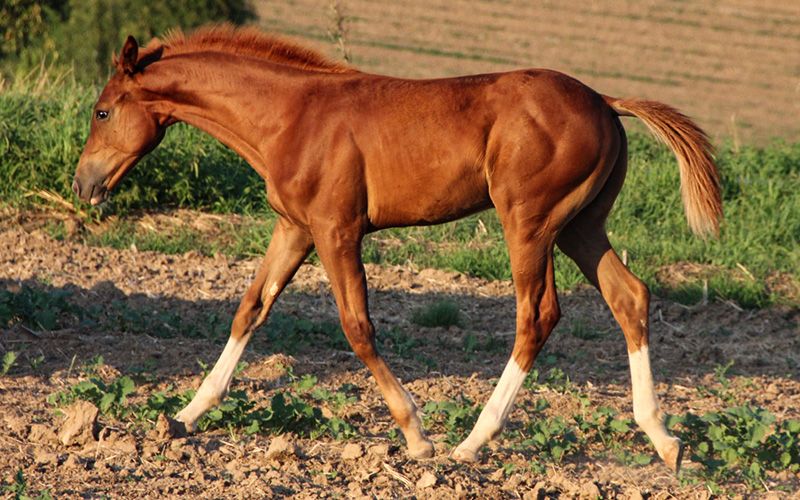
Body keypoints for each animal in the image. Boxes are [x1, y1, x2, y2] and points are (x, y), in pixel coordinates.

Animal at [73, 25, 721, 471]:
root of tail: (606, 101)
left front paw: (417, 435)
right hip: (579, 226)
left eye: (103, 110)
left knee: (537, 314)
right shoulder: (294, 228)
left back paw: (471, 442)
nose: (84, 185)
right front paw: (183, 417)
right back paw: (663, 438)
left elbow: (357, 326)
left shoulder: (336, 230)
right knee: (628, 296)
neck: (291, 117)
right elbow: (249, 310)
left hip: (530, 223)